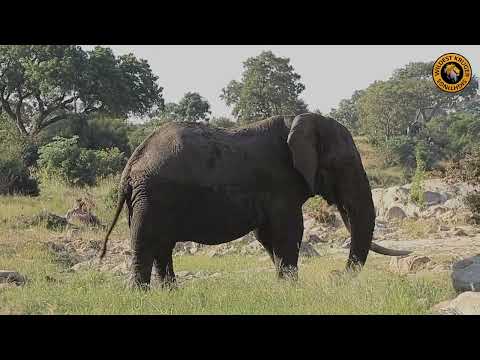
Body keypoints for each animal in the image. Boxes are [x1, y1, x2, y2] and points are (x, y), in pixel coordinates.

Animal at [99, 114, 410, 288]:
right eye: (344, 165)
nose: (335, 276)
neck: (298, 121)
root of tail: (130, 166)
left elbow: (268, 235)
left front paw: (284, 288)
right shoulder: (280, 184)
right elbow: (288, 231)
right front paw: (291, 289)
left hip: (147, 198)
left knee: (161, 246)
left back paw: (171, 295)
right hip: (152, 197)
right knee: (146, 243)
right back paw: (141, 296)